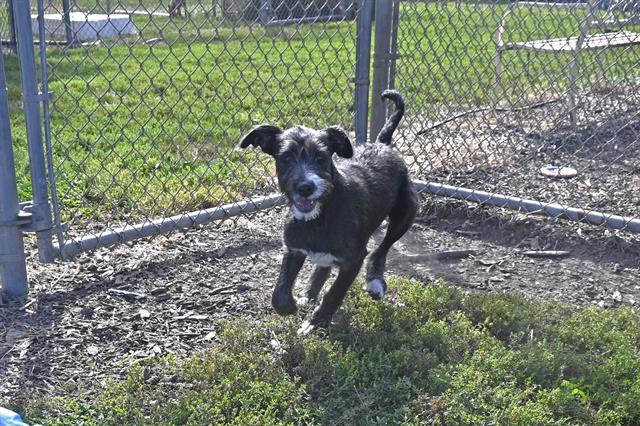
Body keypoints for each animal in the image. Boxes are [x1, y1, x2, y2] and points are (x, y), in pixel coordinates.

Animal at [239, 90, 416, 336]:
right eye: (285, 158)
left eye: (321, 157)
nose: (306, 187)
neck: (319, 216)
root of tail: (382, 144)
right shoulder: (293, 248)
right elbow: (280, 291)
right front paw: (290, 305)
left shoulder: (353, 260)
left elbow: (334, 294)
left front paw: (317, 323)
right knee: (324, 265)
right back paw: (309, 293)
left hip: (406, 212)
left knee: (382, 248)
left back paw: (374, 281)